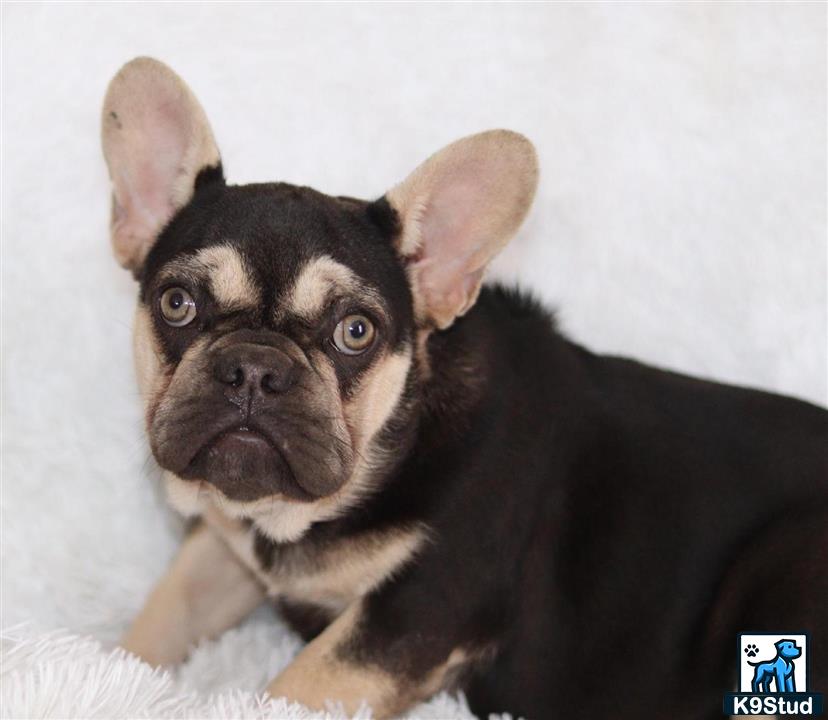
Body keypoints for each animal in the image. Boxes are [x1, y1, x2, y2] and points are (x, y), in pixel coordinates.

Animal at [103, 57, 828, 720]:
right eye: (176, 303)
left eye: (356, 331)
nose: (255, 367)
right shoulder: (224, 551)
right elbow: (163, 614)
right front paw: (112, 673)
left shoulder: (413, 612)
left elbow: (294, 687)